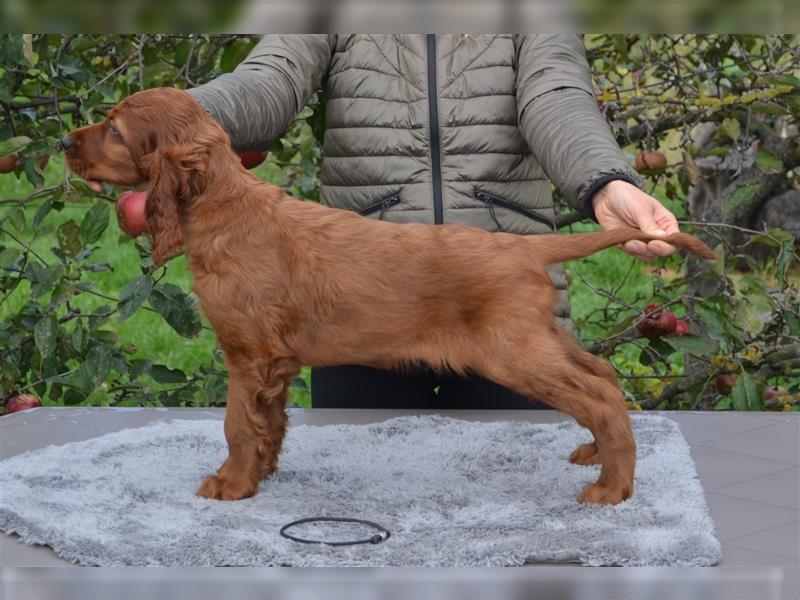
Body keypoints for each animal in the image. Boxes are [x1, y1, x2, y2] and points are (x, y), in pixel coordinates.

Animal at [65, 86, 716, 504]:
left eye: (115, 130)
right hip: (537, 337)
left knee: (600, 396)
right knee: (603, 376)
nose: (67, 142)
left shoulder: (248, 356)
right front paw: (263, 474)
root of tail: (525, 249)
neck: (225, 206)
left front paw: (231, 485)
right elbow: (268, 422)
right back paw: (597, 456)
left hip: (513, 351)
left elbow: (236, 424)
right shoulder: (273, 364)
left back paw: (612, 488)